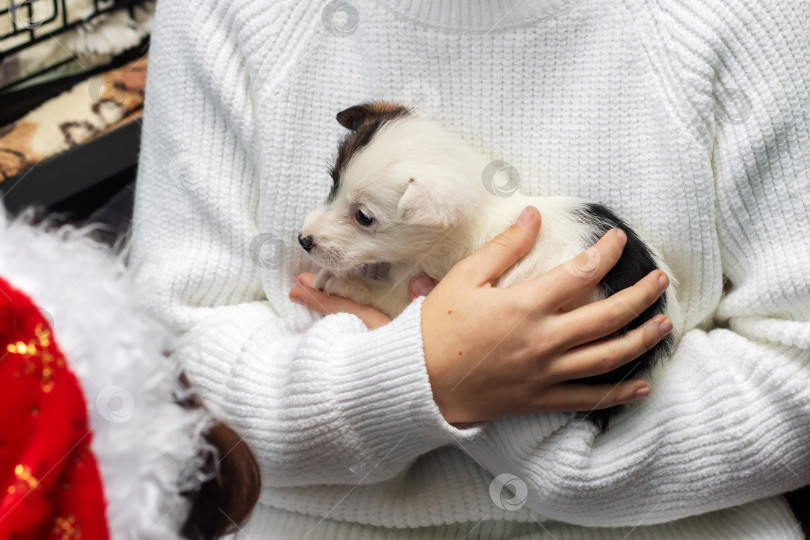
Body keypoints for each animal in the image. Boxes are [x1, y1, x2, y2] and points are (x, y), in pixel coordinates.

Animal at [300, 101, 680, 430]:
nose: (303, 240)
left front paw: (341, 281)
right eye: (333, 184)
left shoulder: (418, 293)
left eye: (364, 217)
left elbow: (380, 292)